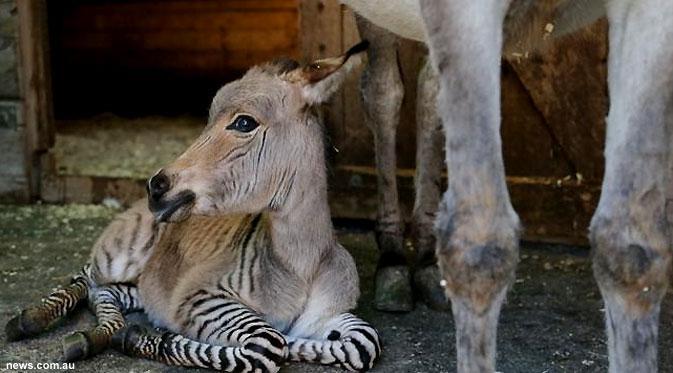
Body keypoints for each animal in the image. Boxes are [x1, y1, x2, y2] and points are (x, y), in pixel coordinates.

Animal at [5, 41, 380, 372]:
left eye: (244, 123)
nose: (155, 186)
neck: (301, 263)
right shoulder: (200, 296)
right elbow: (268, 344)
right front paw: (154, 339)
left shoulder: (331, 315)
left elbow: (361, 343)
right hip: (121, 255)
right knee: (87, 277)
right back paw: (31, 320)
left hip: (143, 278)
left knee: (110, 293)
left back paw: (96, 335)